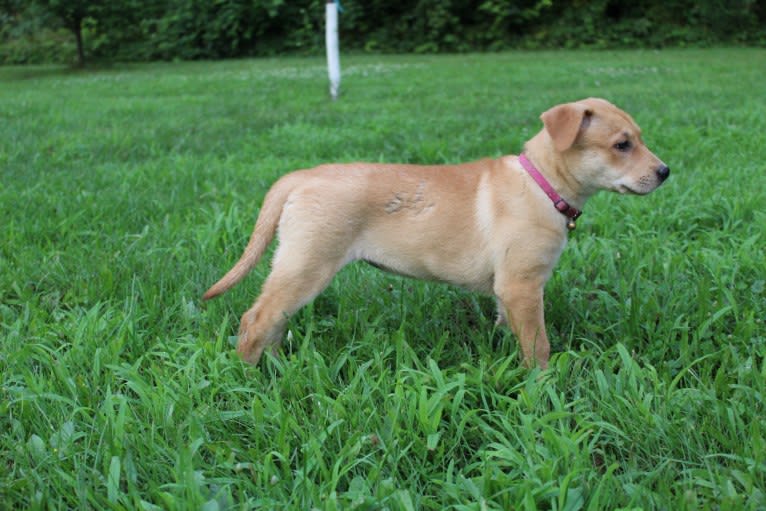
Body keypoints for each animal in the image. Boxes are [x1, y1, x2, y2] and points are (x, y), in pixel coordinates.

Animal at [204, 98, 672, 368]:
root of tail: (299, 177)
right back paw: (249, 377)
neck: (542, 183)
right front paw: (542, 388)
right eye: (622, 145)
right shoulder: (522, 285)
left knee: (273, 319)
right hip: (308, 263)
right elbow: (538, 346)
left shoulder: (509, 289)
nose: (666, 172)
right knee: (256, 319)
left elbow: (510, 329)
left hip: (295, 265)